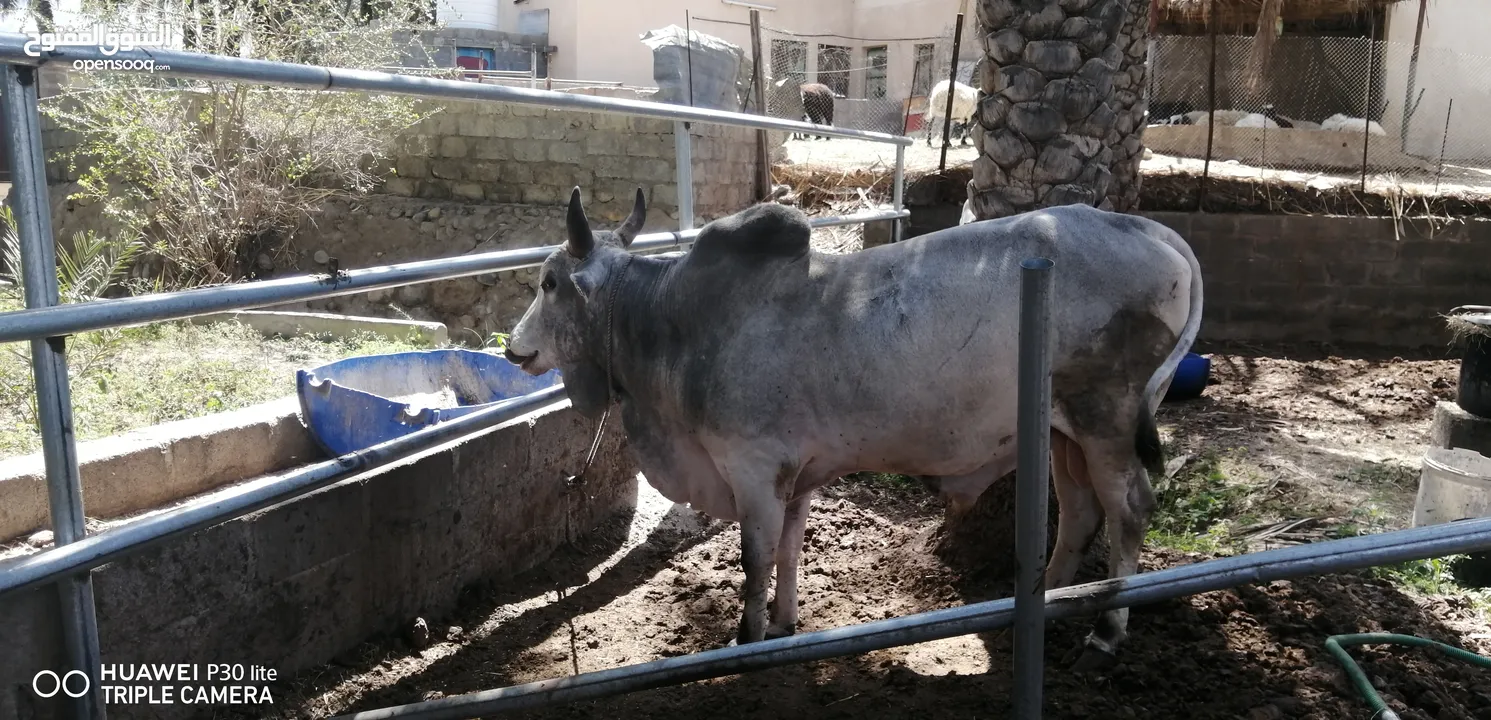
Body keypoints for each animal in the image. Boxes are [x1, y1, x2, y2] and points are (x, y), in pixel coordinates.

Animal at [506, 187, 1204, 670]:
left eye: (549, 282)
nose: (514, 349)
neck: (671, 320)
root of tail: (1139, 224)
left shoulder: (753, 469)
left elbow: (755, 561)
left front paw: (745, 641)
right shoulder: (796, 476)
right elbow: (788, 552)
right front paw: (783, 626)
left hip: (1106, 416)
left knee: (1129, 509)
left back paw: (1104, 634)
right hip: (1063, 432)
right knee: (1082, 512)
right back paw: (1042, 602)